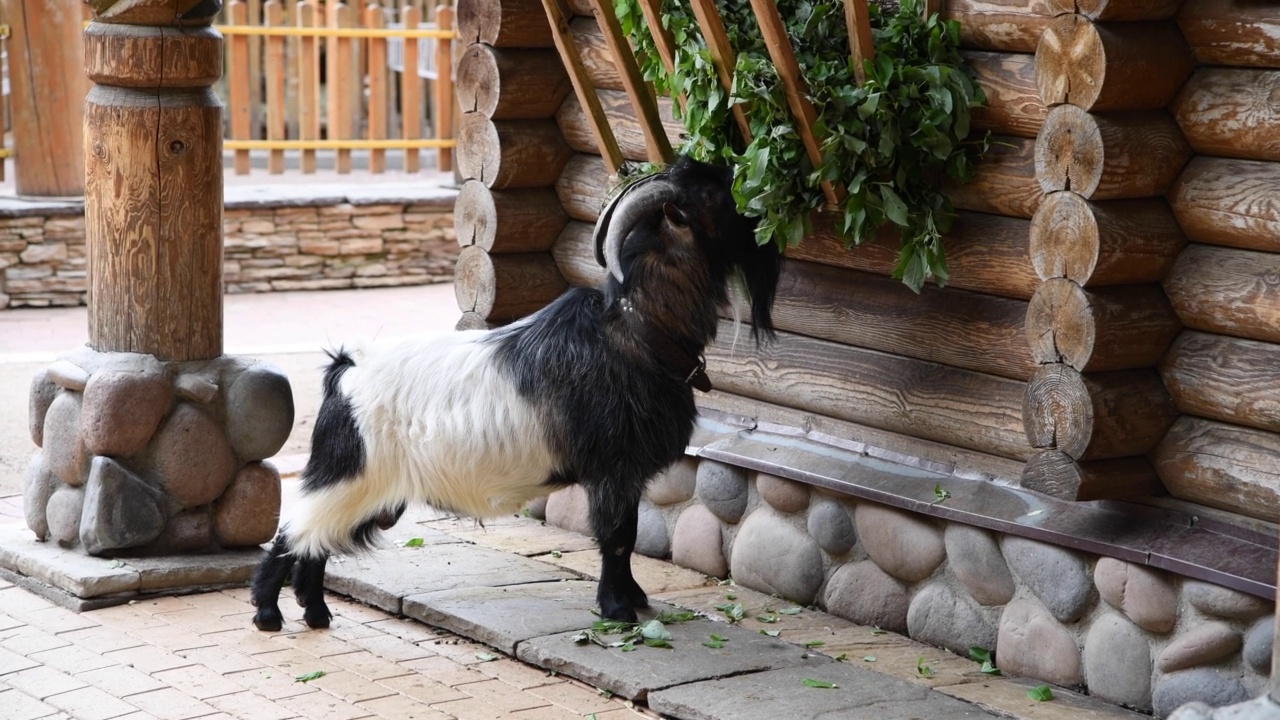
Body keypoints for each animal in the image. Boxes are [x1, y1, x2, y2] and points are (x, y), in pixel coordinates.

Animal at [248, 156, 778, 627]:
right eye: (708, 195)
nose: (754, 200)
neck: (636, 329)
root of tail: (345, 370)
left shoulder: (625, 473)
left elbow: (626, 533)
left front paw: (635, 598)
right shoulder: (612, 468)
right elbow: (617, 537)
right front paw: (618, 609)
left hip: (364, 491)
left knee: (316, 545)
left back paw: (317, 615)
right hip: (348, 476)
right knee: (293, 534)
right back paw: (270, 616)